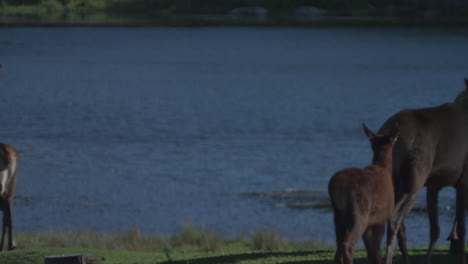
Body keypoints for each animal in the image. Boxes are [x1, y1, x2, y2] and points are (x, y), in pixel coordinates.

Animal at [330, 124, 406, 264]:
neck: (385, 169)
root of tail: (336, 187)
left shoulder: (372, 222)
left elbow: (371, 252)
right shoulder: (381, 217)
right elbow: (376, 251)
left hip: (338, 215)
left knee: (338, 249)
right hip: (359, 212)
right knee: (347, 244)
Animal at [378, 77, 468, 262]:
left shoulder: (434, 185)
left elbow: (435, 230)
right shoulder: (463, 178)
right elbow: (461, 228)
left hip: (394, 180)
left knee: (400, 227)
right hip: (415, 179)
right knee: (395, 219)